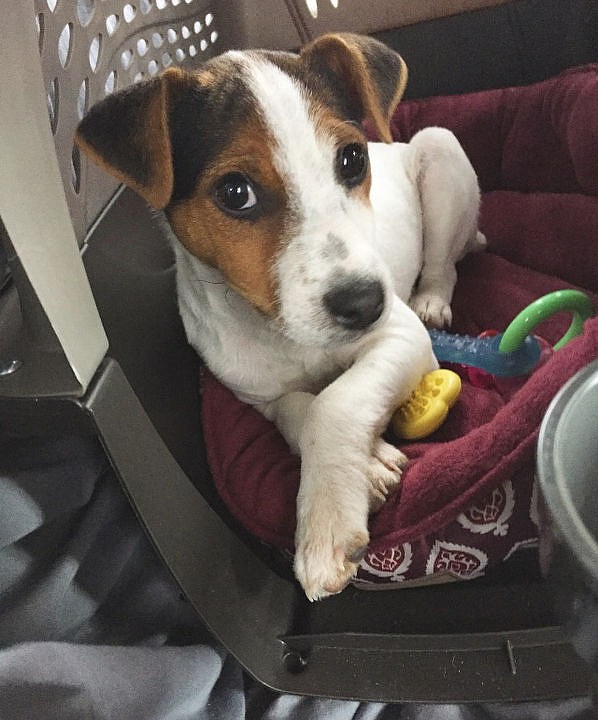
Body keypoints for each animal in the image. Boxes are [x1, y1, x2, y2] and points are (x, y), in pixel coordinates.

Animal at [76, 31, 488, 600]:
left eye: (352, 159)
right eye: (235, 192)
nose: (367, 304)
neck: (284, 334)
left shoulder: (401, 338)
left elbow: (336, 402)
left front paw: (325, 528)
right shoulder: (257, 396)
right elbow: (302, 409)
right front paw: (372, 464)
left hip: (440, 148)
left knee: (442, 263)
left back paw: (432, 298)